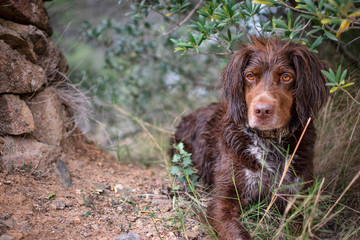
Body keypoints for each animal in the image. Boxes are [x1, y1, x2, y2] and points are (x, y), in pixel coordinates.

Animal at [171, 37, 330, 240]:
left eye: (286, 77)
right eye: (250, 76)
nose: (262, 111)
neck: (269, 142)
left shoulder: (299, 195)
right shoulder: (224, 199)